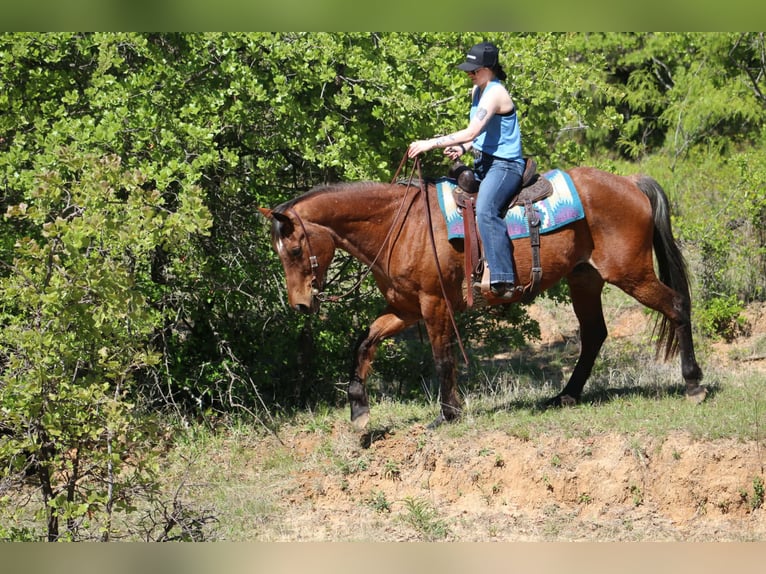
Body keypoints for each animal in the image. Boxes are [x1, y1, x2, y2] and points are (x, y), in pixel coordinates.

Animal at [259, 165, 706, 429]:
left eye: (294, 249)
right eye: (279, 252)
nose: (300, 304)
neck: (401, 226)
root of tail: (630, 182)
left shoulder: (434, 304)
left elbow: (442, 358)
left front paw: (447, 414)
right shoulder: (404, 308)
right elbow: (364, 343)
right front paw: (358, 409)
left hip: (631, 273)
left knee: (677, 306)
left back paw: (693, 383)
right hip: (585, 280)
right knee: (594, 334)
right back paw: (567, 395)